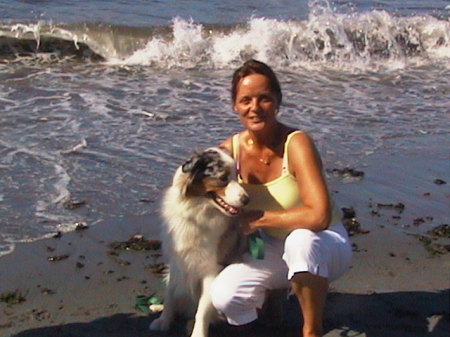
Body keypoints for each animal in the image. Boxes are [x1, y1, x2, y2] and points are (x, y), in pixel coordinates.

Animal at [150, 146, 250, 336]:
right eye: (223, 178)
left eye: (238, 175)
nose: (247, 200)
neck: (196, 210)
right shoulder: (176, 262)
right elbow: (170, 295)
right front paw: (164, 320)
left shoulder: (211, 270)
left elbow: (202, 311)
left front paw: (198, 333)